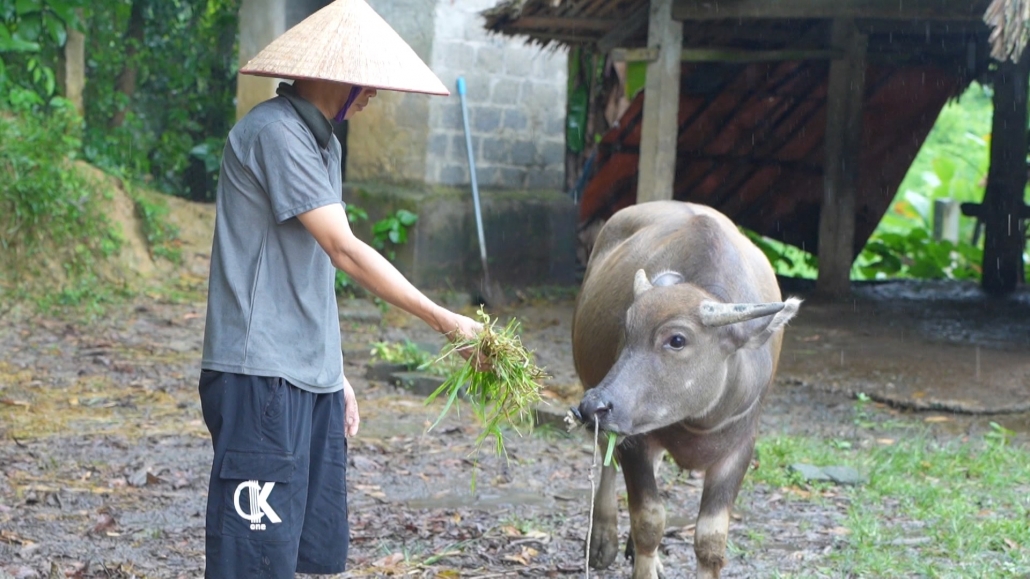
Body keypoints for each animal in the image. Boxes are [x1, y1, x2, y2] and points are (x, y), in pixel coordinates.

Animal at [572, 199, 795, 576]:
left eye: (677, 339)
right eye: (628, 329)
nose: (593, 405)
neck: (698, 419)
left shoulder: (739, 448)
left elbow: (710, 540)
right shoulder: (635, 437)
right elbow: (649, 520)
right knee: (606, 455)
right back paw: (603, 540)